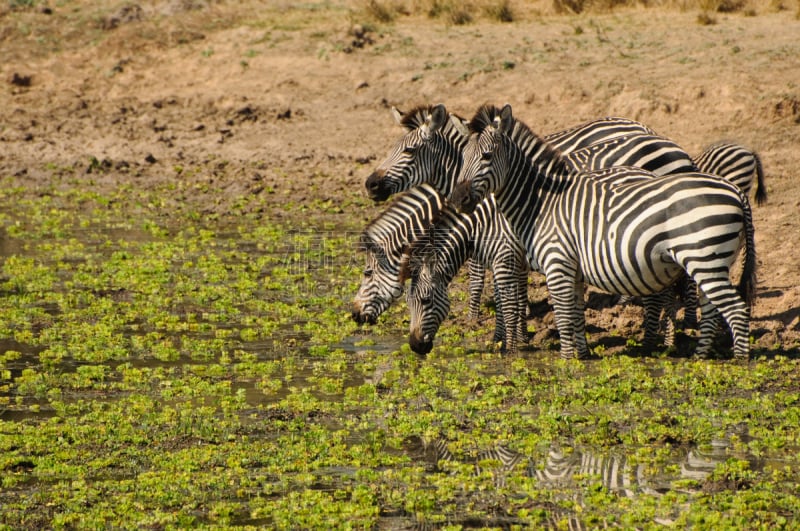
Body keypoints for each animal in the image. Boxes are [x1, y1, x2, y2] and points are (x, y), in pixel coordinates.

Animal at [396, 193, 528, 356]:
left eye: (425, 301)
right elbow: (501, 301)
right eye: (407, 302)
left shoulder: (506, 261)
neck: (482, 226)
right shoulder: (502, 263)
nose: (414, 346)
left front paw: (510, 349)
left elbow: (510, 304)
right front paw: (500, 339)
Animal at [450, 103, 756, 362]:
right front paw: (582, 355)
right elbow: (576, 315)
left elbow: (562, 316)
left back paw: (739, 361)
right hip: (711, 261)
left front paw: (565, 361)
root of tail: (735, 192)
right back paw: (699, 357)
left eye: (487, 156)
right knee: (713, 309)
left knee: (736, 310)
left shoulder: (556, 263)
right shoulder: (573, 268)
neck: (541, 202)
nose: (457, 199)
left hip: (704, 257)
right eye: (462, 158)